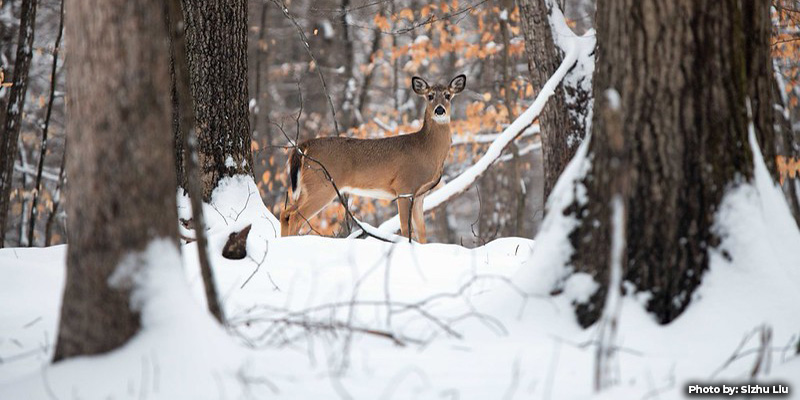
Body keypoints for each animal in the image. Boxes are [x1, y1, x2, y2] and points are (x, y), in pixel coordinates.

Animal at [280, 74, 467, 243]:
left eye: (448, 95)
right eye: (430, 96)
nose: (440, 110)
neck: (426, 149)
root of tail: (305, 145)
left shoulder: (420, 194)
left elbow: (422, 232)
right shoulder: (404, 187)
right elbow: (406, 229)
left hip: (308, 187)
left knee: (285, 213)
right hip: (322, 184)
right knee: (295, 216)